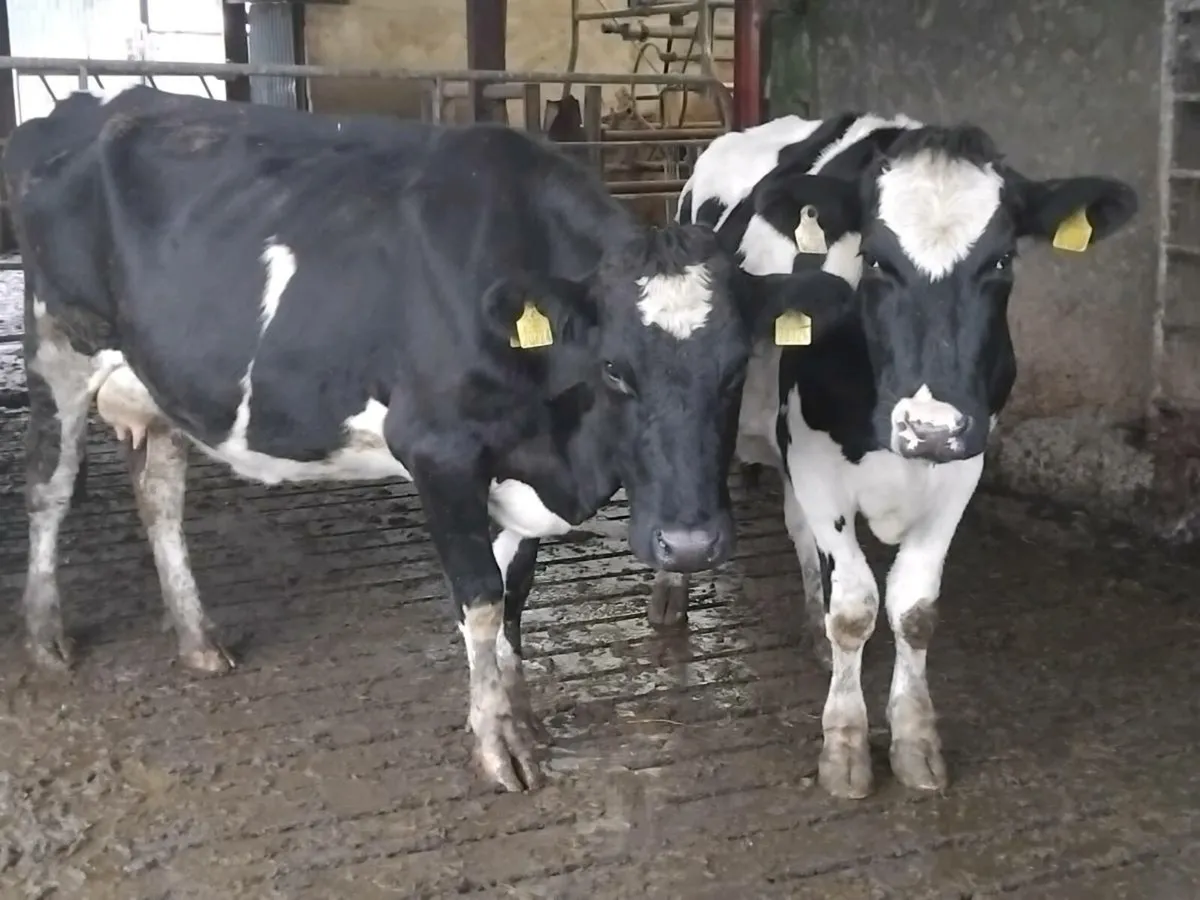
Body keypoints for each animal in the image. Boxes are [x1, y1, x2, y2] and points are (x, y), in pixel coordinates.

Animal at [4, 87, 855, 793]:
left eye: (736, 365)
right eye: (615, 368)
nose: (690, 544)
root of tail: (88, 108)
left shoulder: (516, 469)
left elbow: (514, 594)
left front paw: (519, 708)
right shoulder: (437, 451)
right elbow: (478, 599)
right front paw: (499, 744)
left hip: (160, 384)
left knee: (160, 499)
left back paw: (197, 637)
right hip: (59, 346)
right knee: (49, 485)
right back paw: (45, 637)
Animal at [667, 112, 1138, 798]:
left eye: (1001, 259)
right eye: (876, 259)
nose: (928, 428)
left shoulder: (963, 465)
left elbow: (914, 609)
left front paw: (915, 739)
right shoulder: (816, 463)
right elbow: (855, 609)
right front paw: (845, 745)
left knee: (797, 531)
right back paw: (671, 595)